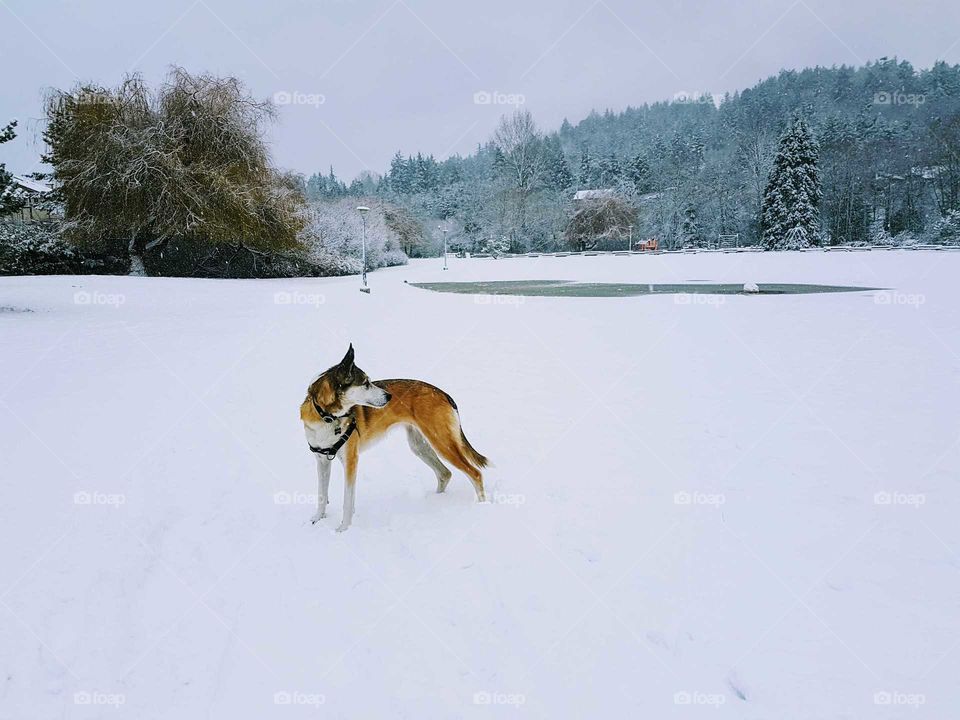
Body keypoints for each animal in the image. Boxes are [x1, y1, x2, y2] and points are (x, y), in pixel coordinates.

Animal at [298, 346, 488, 532]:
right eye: (365, 383)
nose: (389, 397)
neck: (327, 417)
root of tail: (442, 393)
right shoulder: (322, 460)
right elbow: (322, 495)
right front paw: (318, 519)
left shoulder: (351, 461)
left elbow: (347, 500)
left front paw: (343, 529)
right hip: (419, 446)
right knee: (444, 474)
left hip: (441, 443)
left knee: (475, 473)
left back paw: (482, 507)